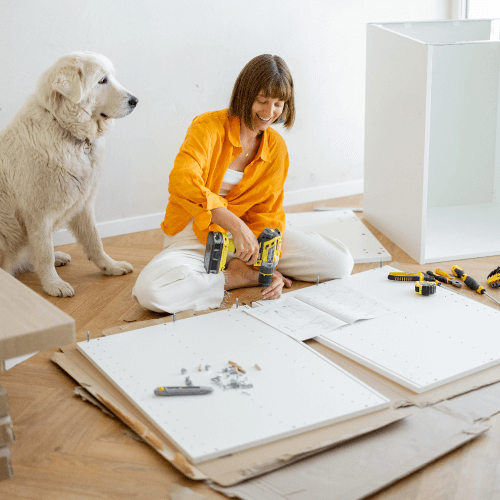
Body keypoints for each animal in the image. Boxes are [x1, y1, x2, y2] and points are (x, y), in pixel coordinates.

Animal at [0, 51, 139, 296]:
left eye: (112, 77)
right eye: (102, 80)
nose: (135, 101)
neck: (64, 129)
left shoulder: (83, 204)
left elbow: (94, 240)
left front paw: (110, 267)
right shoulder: (38, 216)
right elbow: (44, 253)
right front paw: (54, 285)